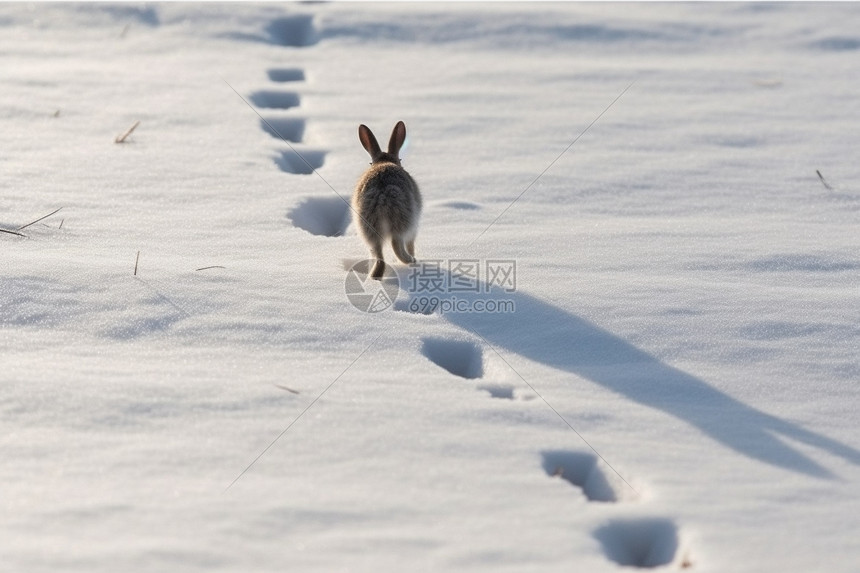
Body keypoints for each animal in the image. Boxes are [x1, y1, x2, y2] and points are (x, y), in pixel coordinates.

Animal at [352, 122, 422, 280]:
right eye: (400, 160)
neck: (384, 162)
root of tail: (382, 195)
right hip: (404, 220)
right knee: (397, 245)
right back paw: (411, 260)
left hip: (368, 225)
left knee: (377, 252)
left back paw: (375, 276)